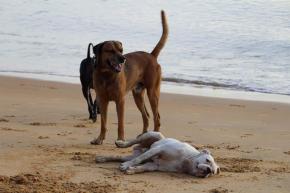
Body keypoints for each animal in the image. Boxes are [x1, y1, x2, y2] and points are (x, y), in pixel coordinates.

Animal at [90, 9, 168, 144]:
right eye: (110, 50)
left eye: (121, 50)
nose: (123, 59)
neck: (106, 74)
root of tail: (152, 56)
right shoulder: (102, 100)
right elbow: (103, 123)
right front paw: (99, 139)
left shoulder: (120, 100)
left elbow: (120, 123)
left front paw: (120, 139)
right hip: (138, 95)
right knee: (146, 116)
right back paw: (143, 136)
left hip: (152, 92)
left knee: (156, 117)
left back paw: (155, 136)